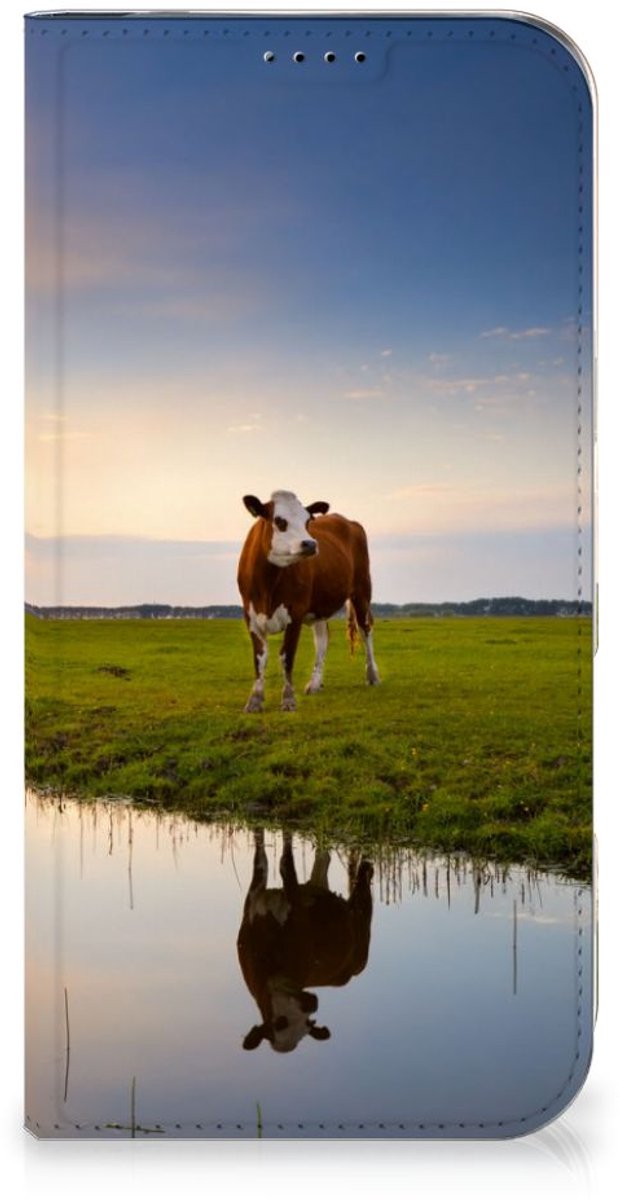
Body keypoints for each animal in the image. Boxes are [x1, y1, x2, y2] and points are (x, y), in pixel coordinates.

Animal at [237, 490, 379, 712]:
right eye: (279, 521)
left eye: (308, 521)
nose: (311, 544)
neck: (268, 584)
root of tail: (348, 521)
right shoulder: (251, 616)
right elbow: (259, 658)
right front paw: (255, 700)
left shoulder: (295, 613)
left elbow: (287, 656)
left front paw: (288, 699)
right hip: (319, 606)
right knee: (322, 638)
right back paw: (315, 683)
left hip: (362, 591)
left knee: (366, 630)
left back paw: (372, 675)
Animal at [237, 829, 374, 1053]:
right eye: (279, 1023)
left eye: (307, 1023)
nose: (312, 1004)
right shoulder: (253, 900)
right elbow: (261, 858)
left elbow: (285, 864)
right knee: (323, 858)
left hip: (361, 930)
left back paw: (367, 867)